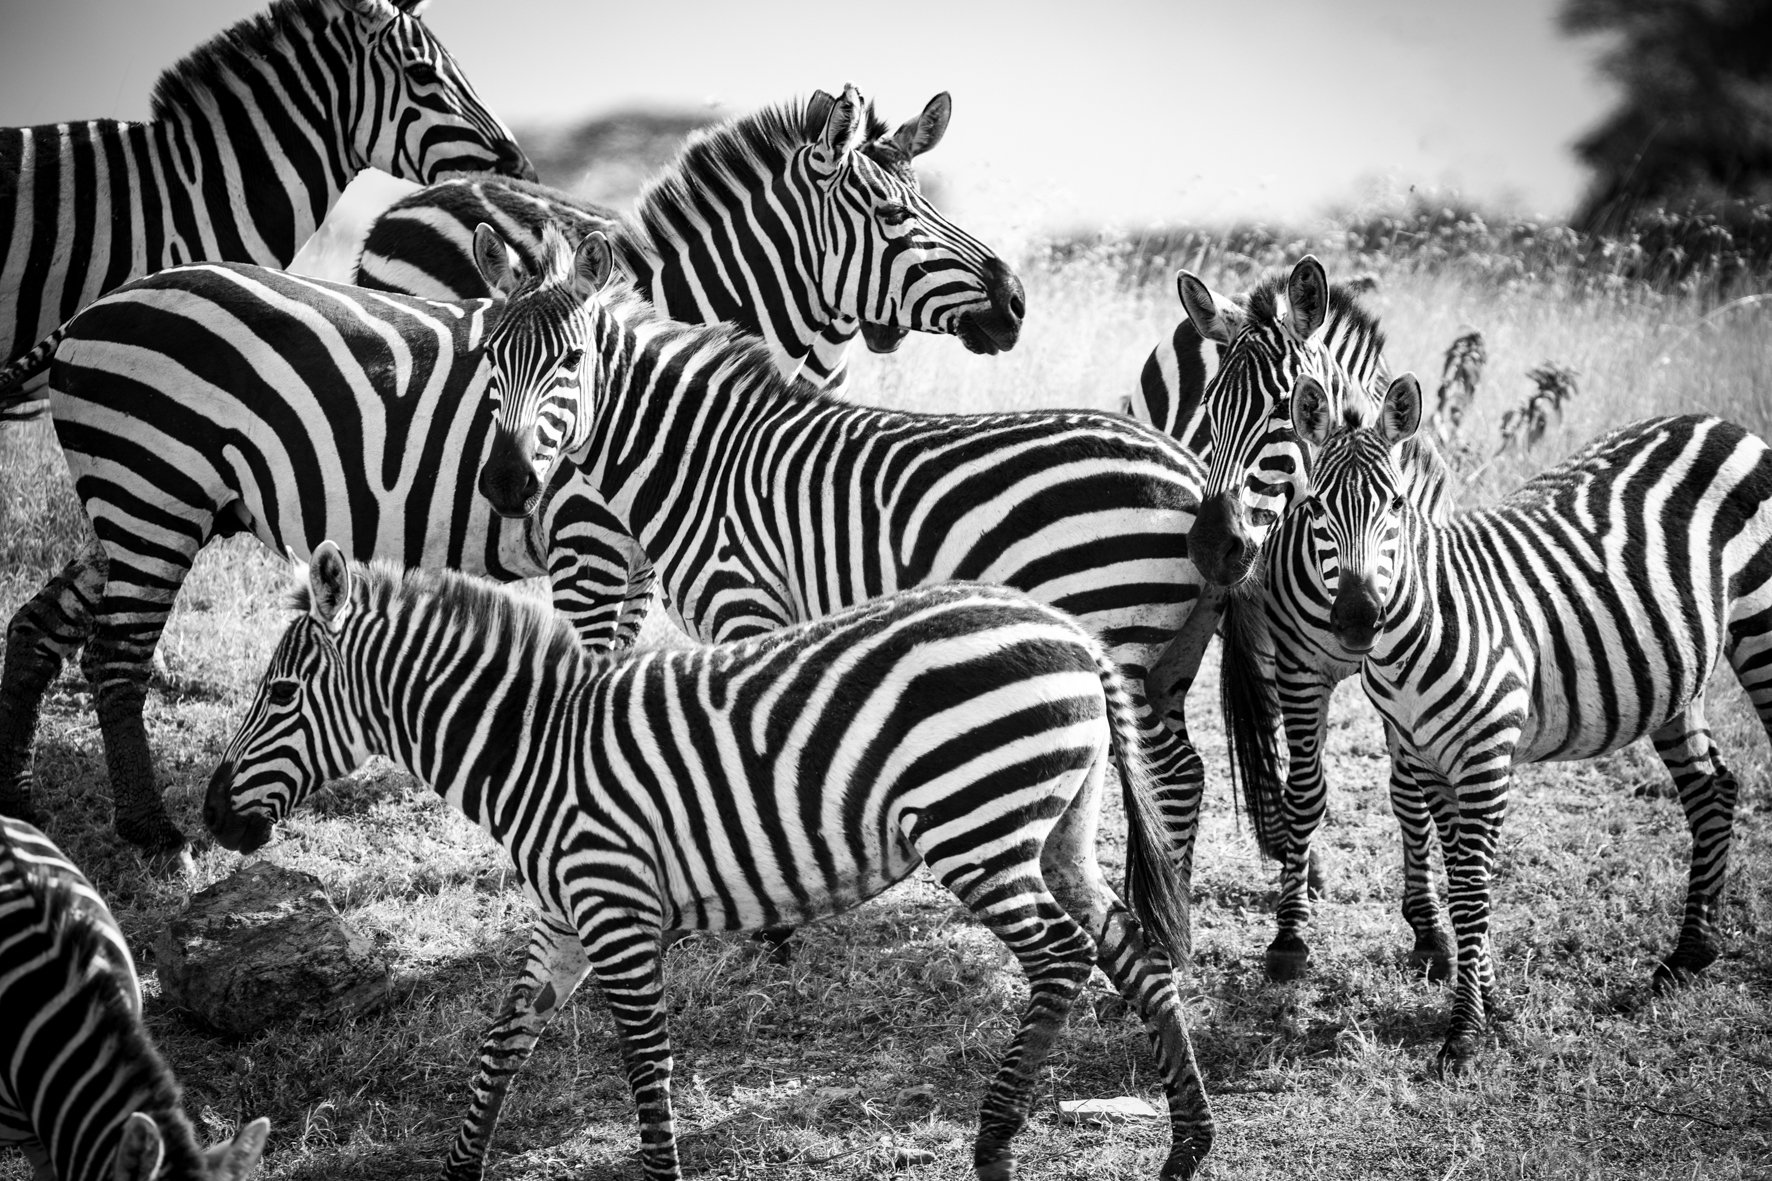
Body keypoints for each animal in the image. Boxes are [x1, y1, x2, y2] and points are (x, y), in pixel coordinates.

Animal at [203, 546, 1215, 1181]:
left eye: (280, 693)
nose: (211, 816)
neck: (533, 747)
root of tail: (1071, 631)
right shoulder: (564, 914)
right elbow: (502, 1041)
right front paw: (459, 1167)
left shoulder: (616, 908)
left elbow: (645, 1061)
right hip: (1058, 827)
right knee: (1130, 948)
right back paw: (1188, 1142)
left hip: (978, 824)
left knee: (1062, 956)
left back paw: (996, 1142)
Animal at [471, 230, 1218, 917]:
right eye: (489, 358)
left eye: (571, 360)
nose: (506, 482)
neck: (699, 461)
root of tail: (1188, 467)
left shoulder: (749, 605)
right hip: (1171, 654)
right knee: (1184, 770)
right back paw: (1168, 912)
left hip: (1118, 629)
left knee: (1162, 772)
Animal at [1133, 259, 1459, 983]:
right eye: (1210, 409)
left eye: (1287, 407)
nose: (1209, 547)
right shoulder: (1301, 662)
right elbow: (1305, 786)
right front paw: (1289, 933)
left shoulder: (1413, 669)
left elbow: (1412, 792)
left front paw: (1429, 929)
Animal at [1261, 377, 1772, 1074]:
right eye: (1314, 508)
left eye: (1395, 504)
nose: (1357, 620)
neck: (1422, 623)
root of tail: (1719, 421)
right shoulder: (1428, 760)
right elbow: (1458, 881)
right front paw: (1485, 992)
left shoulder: (1484, 758)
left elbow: (1473, 890)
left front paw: (1465, 1032)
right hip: (1677, 676)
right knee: (1711, 787)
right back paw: (1689, 954)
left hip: (1762, 628)